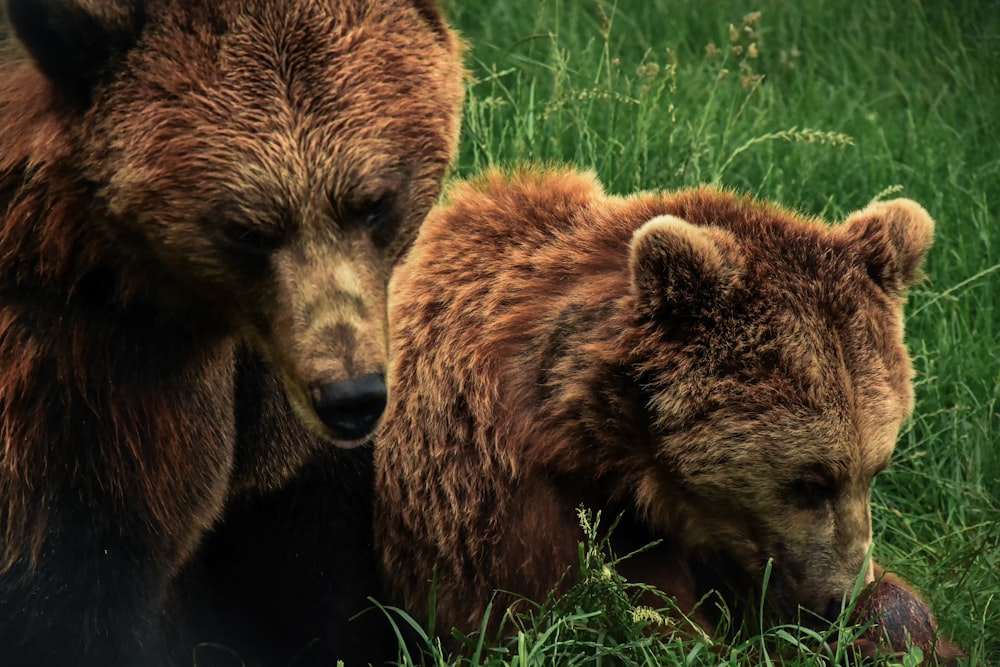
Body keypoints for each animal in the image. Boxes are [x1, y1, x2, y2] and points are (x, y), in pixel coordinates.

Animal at [376, 170, 960, 660]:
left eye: (875, 470)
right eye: (810, 482)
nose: (839, 600)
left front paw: (896, 622)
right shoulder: (504, 515)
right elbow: (624, 627)